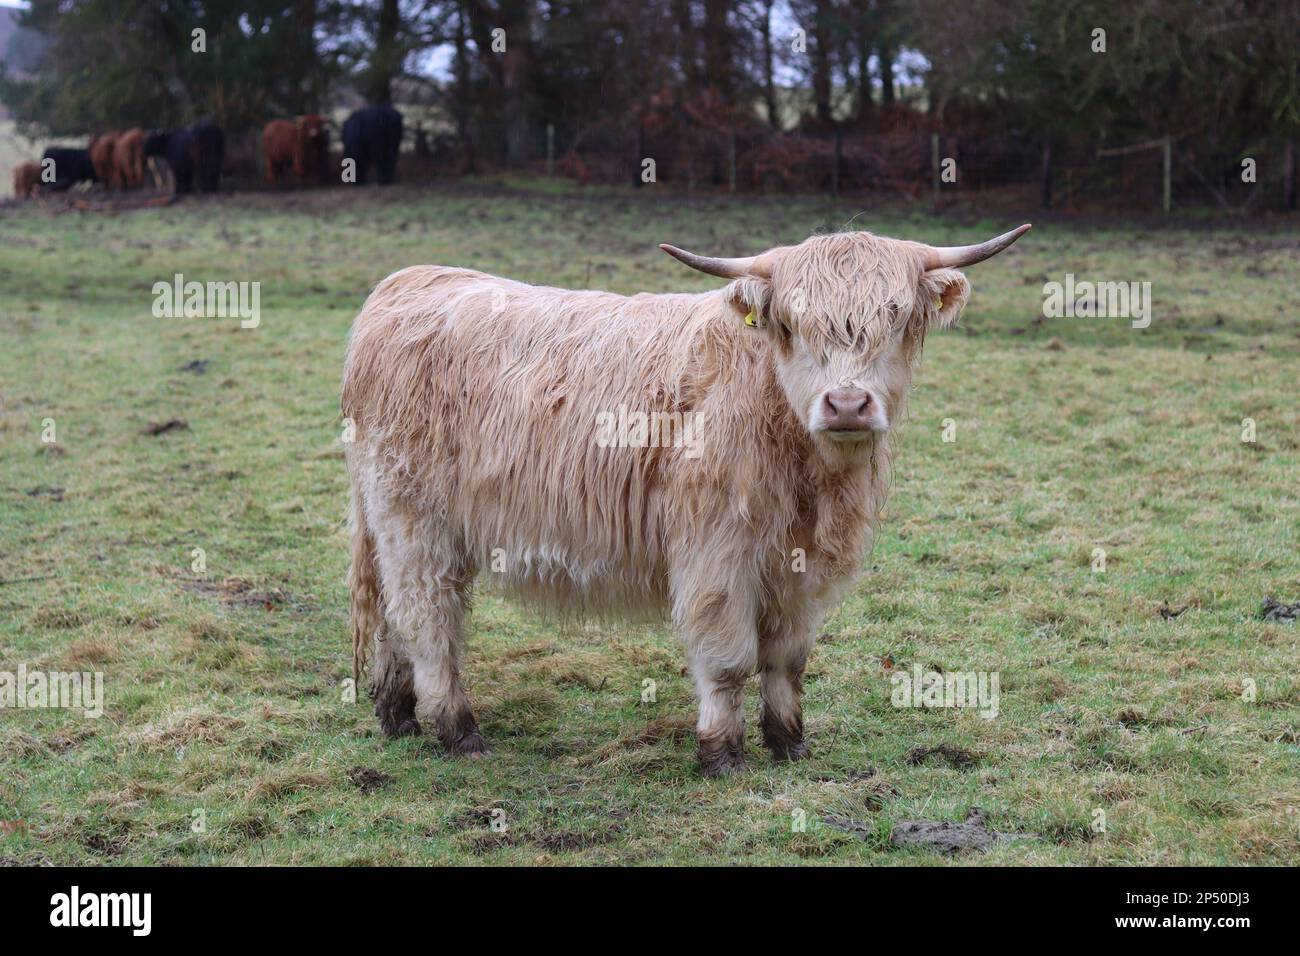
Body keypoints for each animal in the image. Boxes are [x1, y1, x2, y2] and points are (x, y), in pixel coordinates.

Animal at [342, 224, 1031, 775]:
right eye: (792, 324)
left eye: (897, 320)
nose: (846, 404)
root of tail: (410, 282)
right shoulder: (716, 553)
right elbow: (729, 660)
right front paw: (722, 753)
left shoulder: (799, 567)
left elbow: (788, 659)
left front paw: (789, 744)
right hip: (413, 518)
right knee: (427, 616)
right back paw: (457, 729)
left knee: (395, 615)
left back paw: (398, 714)